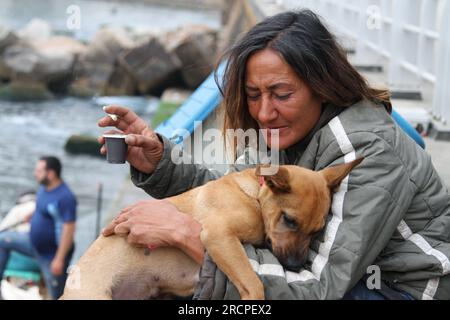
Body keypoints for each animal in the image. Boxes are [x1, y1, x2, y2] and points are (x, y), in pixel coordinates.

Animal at [60, 160, 362, 300]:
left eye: (317, 231)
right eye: (289, 220)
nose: (296, 266)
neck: (254, 196)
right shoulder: (219, 236)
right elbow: (254, 283)